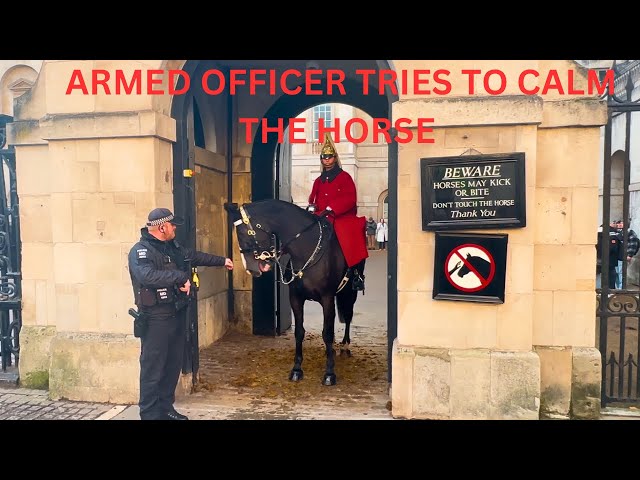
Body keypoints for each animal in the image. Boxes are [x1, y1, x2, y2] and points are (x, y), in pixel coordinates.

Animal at [126, 207, 234, 420]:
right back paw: (151, 413)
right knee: (151, 371)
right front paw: (183, 279)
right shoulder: (141, 256)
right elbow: (148, 272)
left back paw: (170, 411)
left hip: (175, 340)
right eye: (172, 224)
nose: (175, 230)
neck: (159, 244)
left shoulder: (186, 252)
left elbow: (195, 254)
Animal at [225, 199, 364, 386]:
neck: (306, 249)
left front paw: (329, 373)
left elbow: (327, 333)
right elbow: (299, 332)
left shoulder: (327, 298)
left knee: (348, 316)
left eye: (244, 234)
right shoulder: (296, 299)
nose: (251, 269)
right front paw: (297, 369)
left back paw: (344, 346)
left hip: (349, 292)